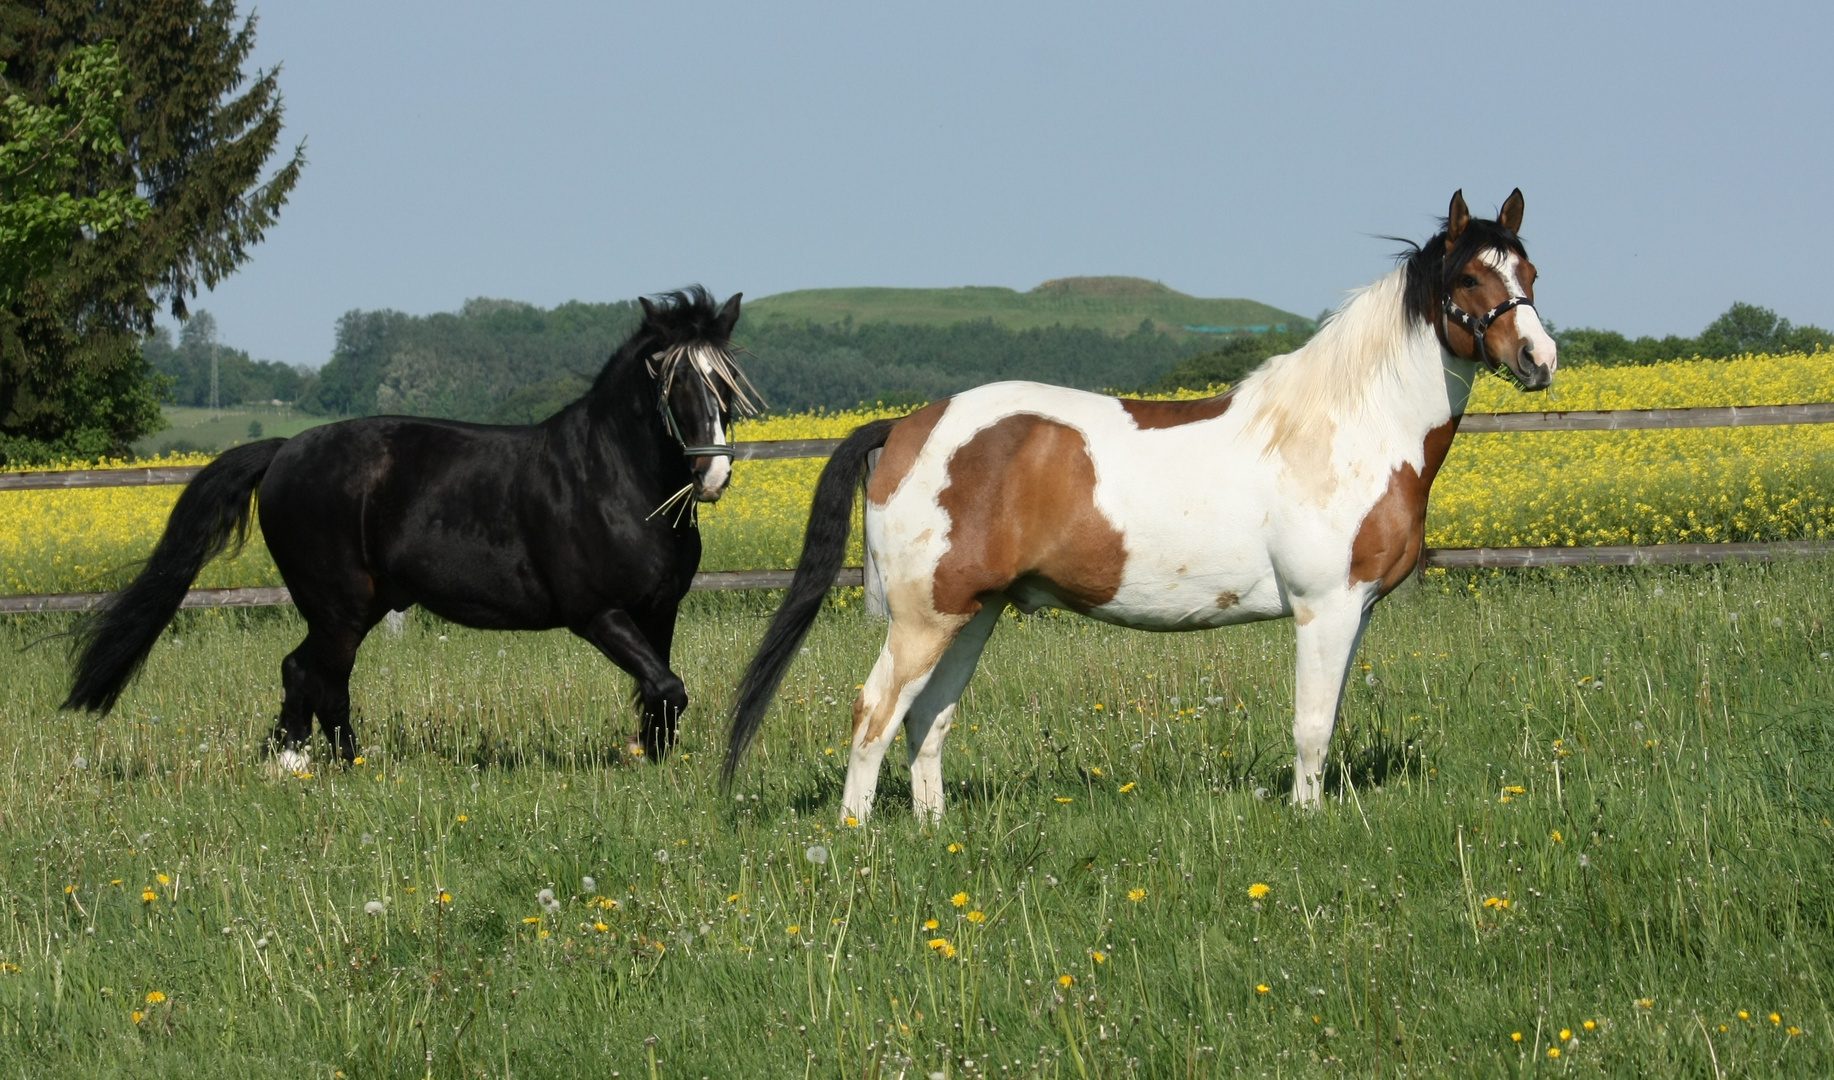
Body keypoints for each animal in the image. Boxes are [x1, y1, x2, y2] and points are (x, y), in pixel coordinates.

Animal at [64, 282, 751, 762]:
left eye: (727, 380)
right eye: (669, 376)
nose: (713, 473)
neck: (614, 482)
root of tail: (285, 450)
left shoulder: (658, 611)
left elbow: (661, 695)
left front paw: (655, 764)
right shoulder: (597, 613)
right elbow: (667, 689)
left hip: (361, 604)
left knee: (322, 678)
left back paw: (344, 763)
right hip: (336, 604)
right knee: (309, 672)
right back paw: (296, 764)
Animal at [722, 191, 1555, 817]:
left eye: (1531, 272)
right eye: (1469, 280)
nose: (1538, 360)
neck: (1339, 428)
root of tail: (906, 426)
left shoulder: (1356, 610)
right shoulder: (1326, 604)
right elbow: (1313, 724)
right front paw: (1306, 817)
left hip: (971, 614)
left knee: (928, 718)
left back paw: (934, 831)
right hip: (925, 618)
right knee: (875, 710)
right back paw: (855, 837)